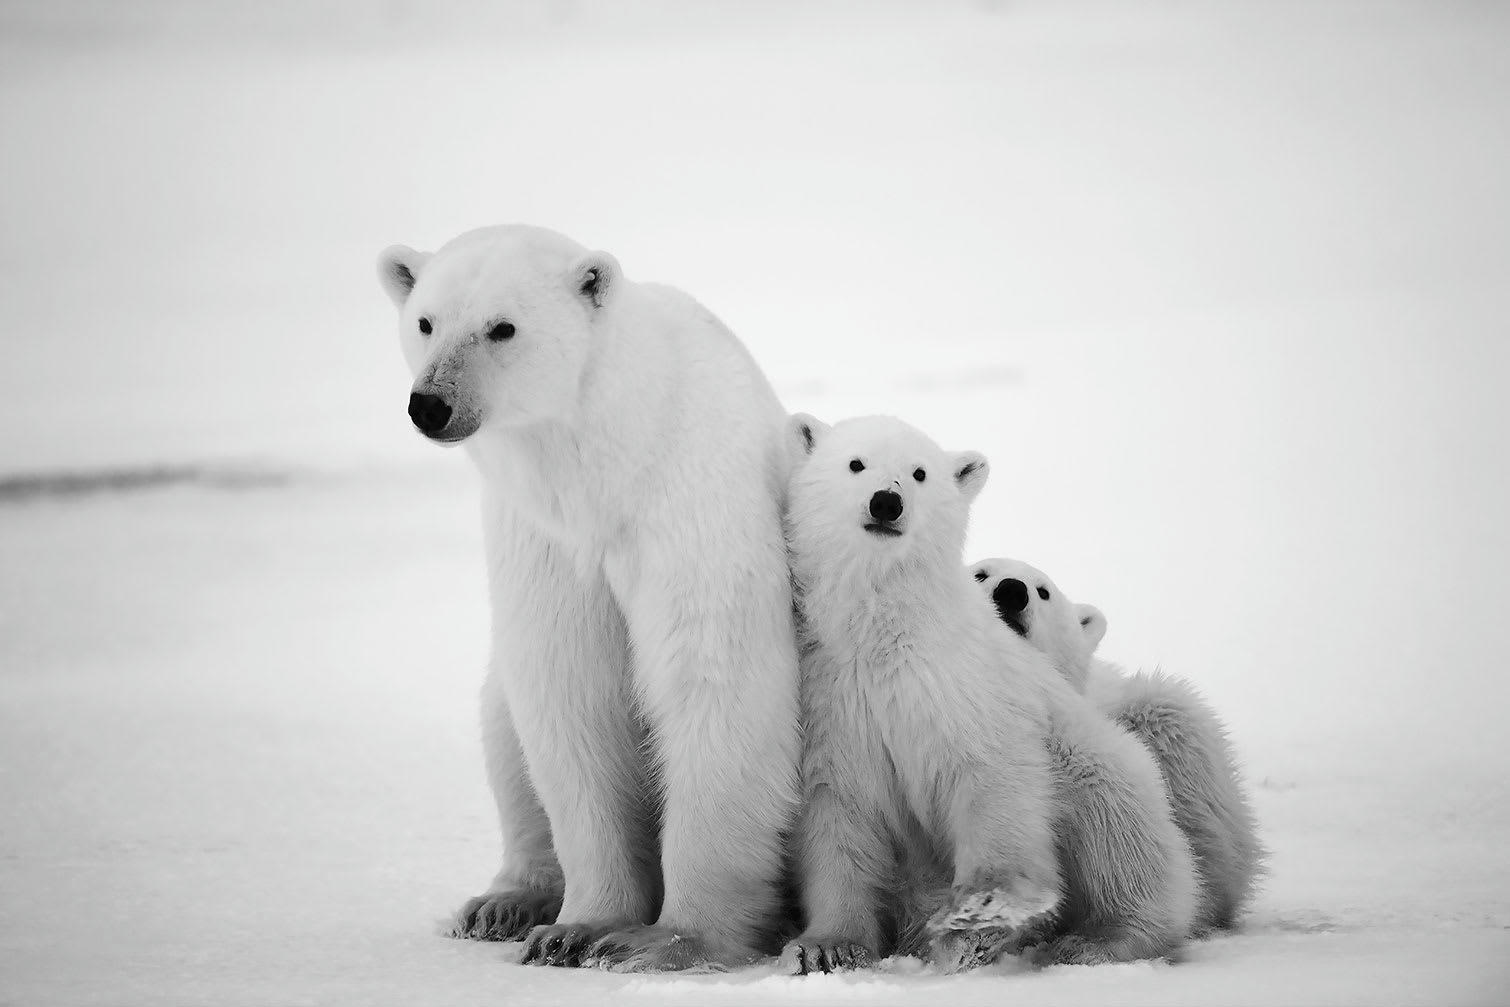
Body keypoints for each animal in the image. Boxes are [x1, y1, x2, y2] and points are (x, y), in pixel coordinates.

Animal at [376, 225, 801, 972]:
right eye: (425, 321)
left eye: (502, 327)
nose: (431, 404)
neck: (610, 462)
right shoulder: (544, 538)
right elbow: (569, 691)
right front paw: (576, 928)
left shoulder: (692, 502)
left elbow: (714, 681)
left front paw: (665, 941)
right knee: (502, 724)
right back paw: (504, 902)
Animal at [779, 414, 1198, 973]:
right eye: (855, 463)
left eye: (920, 473)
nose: (886, 502)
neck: (884, 633)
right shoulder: (832, 697)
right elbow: (837, 813)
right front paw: (825, 947)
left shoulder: (964, 683)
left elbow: (991, 776)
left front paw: (979, 920)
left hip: (1097, 760)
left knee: (1117, 830)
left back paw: (1099, 940)